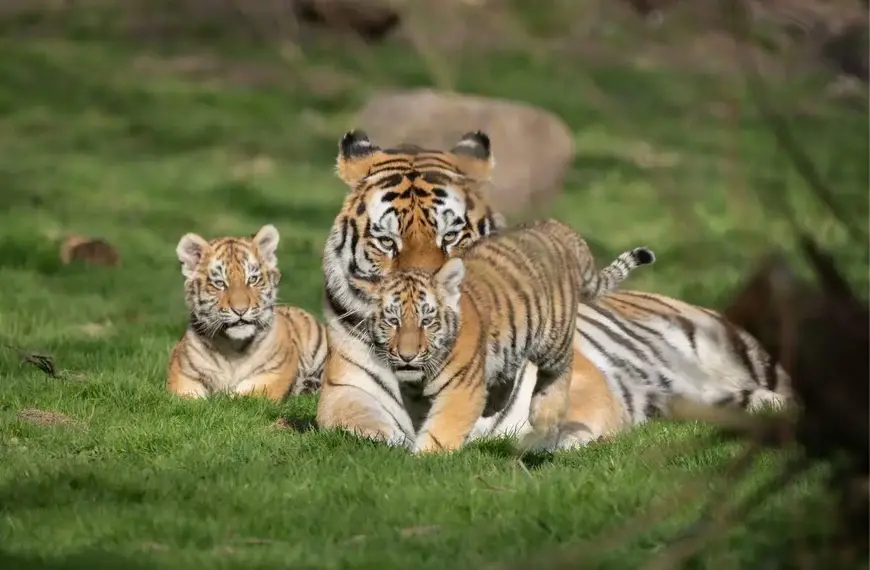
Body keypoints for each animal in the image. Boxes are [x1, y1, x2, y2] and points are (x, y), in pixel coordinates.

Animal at [166, 224, 328, 400]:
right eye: (220, 283)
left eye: (252, 279)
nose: (241, 310)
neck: (234, 350)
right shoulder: (183, 373)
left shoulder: (272, 373)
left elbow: (243, 396)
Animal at [368, 218, 656, 453]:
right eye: (392, 321)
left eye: (427, 321)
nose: (407, 356)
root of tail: (556, 227)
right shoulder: (414, 394)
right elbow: (422, 420)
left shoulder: (460, 388)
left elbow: (442, 427)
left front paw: (425, 458)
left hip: (554, 335)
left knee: (561, 368)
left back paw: (544, 416)